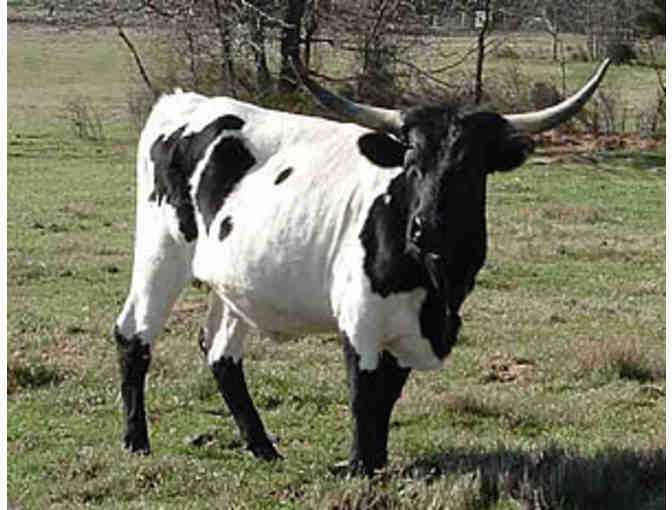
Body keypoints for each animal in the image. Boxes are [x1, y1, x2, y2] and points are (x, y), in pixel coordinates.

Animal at [114, 58, 608, 474]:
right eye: (411, 160)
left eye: (471, 167)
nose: (426, 227)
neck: (435, 286)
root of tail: (187, 102)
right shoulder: (361, 319)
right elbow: (364, 396)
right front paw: (359, 468)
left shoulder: (406, 332)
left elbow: (387, 397)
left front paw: (379, 463)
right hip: (161, 250)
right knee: (133, 335)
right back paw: (137, 441)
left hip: (232, 284)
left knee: (220, 353)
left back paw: (262, 447)